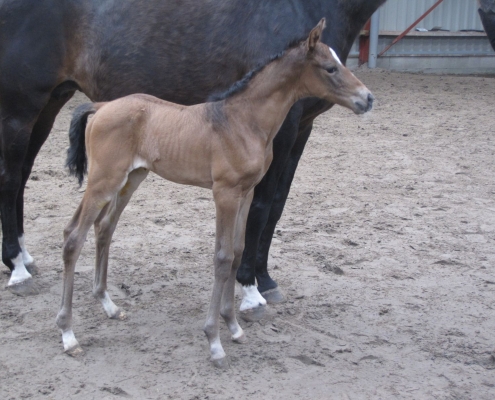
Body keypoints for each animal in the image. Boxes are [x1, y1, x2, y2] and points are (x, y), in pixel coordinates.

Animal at [0, 1, 386, 318]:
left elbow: (265, 217)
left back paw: (32, 261)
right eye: (329, 68)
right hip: (27, 112)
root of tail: (99, 108)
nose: (367, 98)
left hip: (61, 109)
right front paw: (249, 294)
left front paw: (259, 285)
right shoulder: (234, 183)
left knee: (35, 182)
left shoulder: (283, 149)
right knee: (15, 181)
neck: (241, 118)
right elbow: (246, 229)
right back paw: (18, 268)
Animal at [56, 19, 374, 368]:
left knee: (103, 228)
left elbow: (237, 251)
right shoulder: (225, 193)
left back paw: (109, 306)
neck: (243, 122)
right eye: (330, 68)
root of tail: (101, 107)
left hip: (129, 179)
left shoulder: (246, 193)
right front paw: (214, 340)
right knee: (74, 237)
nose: (368, 98)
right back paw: (68, 334)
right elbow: (222, 258)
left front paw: (233, 326)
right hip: (104, 180)